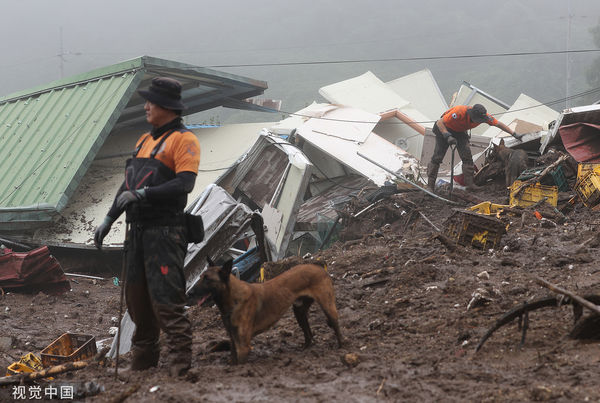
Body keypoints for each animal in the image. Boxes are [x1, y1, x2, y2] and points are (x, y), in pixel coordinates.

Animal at [197, 260, 344, 364]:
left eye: (207, 279)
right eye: (201, 277)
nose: (191, 293)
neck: (233, 300)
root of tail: (318, 267)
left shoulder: (244, 347)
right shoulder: (234, 342)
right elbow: (233, 360)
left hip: (327, 305)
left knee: (335, 325)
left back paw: (342, 347)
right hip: (299, 311)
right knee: (308, 334)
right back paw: (304, 349)